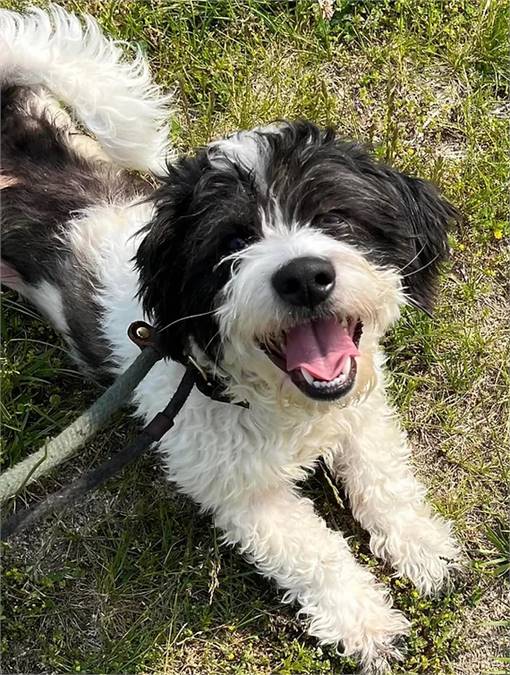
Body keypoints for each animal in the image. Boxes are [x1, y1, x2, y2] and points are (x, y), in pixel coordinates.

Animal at [0, 6, 462, 675]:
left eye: (335, 219)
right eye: (231, 244)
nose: (304, 276)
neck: (280, 401)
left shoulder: (362, 410)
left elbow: (385, 476)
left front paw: (422, 544)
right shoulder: (238, 490)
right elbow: (315, 554)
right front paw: (367, 622)